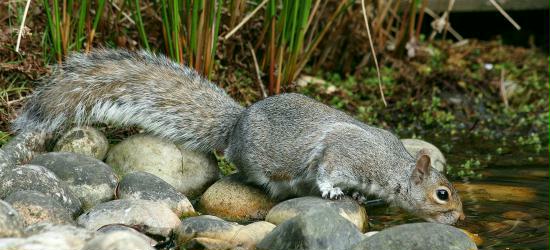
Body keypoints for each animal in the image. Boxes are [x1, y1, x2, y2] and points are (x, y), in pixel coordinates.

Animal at [11, 48, 466, 225]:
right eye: (442, 193)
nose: (461, 218)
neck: (392, 166)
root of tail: (237, 122)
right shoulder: (346, 153)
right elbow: (327, 168)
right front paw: (335, 192)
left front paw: (355, 196)